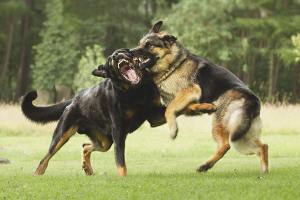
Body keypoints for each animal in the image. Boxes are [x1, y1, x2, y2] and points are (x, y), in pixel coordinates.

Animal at [22, 48, 217, 177]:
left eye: (121, 51)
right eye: (110, 61)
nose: (116, 56)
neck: (136, 92)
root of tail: (74, 99)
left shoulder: (154, 116)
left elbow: (176, 108)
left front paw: (204, 107)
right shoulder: (119, 130)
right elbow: (120, 159)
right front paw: (122, 178)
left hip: (104, 141)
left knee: (85, 146)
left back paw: (87, 168)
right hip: (63, 133)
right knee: (46, 157)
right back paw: (38, 174)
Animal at [131, 21, 270, 173]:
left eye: (149, 45)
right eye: (139, 43)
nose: (131, 51)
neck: (173, 65)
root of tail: (253, 101)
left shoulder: (190, 90)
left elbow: (170, 109)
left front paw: (173, 130)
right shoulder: (181, 99)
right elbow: (182, 106)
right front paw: (205, 107)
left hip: (222, 125)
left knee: (225, 145)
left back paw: (206, 165)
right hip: (240, 136)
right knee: (263, 147)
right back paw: (264, 172)